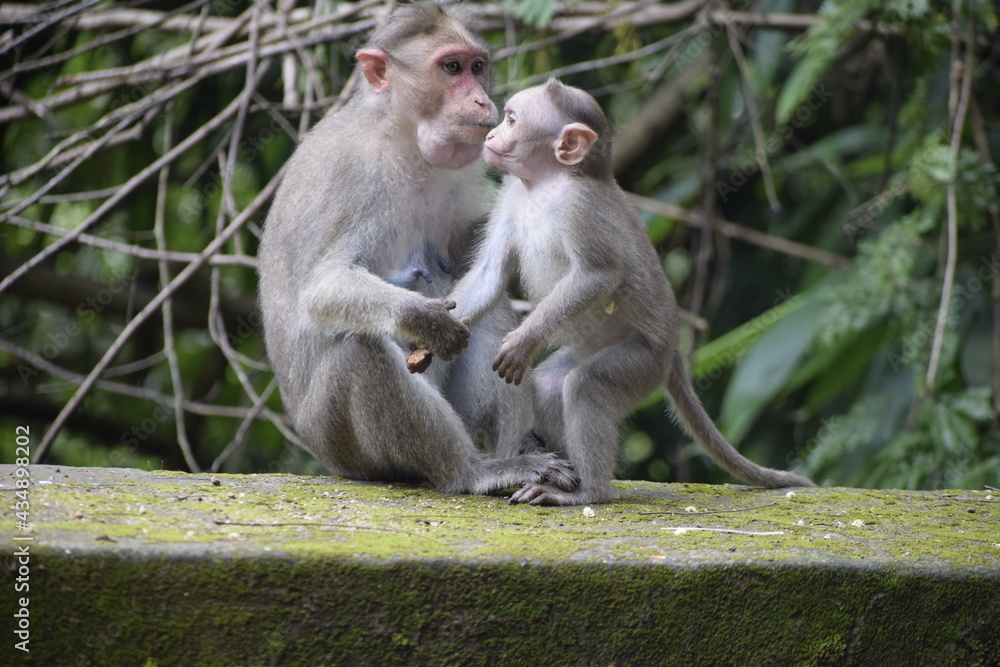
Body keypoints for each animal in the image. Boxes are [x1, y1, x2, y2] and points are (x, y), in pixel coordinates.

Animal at [258, 3, 576, 496]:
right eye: (451, 68)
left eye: (477, 67)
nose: (483, 102)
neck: (403, 138)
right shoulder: (349, 175)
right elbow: (320, 288)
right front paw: (424, 318)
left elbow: (470, 256)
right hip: (341, 444)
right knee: (361, 351)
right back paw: (473, 472)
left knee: (487, 306)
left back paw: (517, 449)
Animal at [446, 79, 812, 506]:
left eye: (511, 120)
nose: (490, 135)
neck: (546, 184)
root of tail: (671, 351)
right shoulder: (510, 196)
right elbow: (488, 275)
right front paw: (432, 330)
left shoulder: (577, 208)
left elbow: (597, 275)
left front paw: (524, 339)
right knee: (551, 384)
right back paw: (559, 473)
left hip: (641, 364)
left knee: (586, 387)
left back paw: (588, 492)